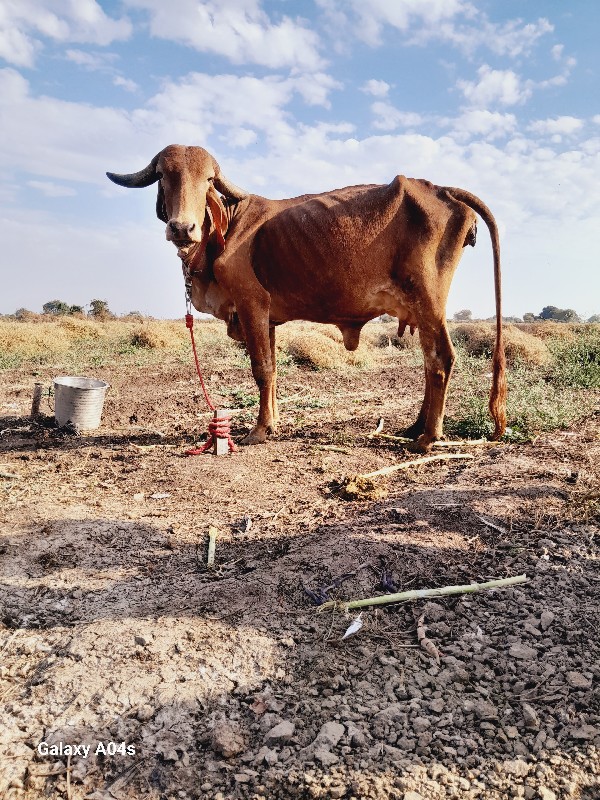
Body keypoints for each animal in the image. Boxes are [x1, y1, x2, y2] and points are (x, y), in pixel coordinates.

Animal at [108, 145, 506, 450]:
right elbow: (272, 370)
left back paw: (428, 437)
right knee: (428, 362)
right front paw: (273, 422)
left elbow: (261, 369)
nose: (182, 228)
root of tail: (442, 189)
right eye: (164, 175)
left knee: (441, 359)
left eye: (207, 179)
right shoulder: (266, 319)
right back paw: (415, 427)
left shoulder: (252, 305)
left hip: (429, 301)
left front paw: (258, 430)